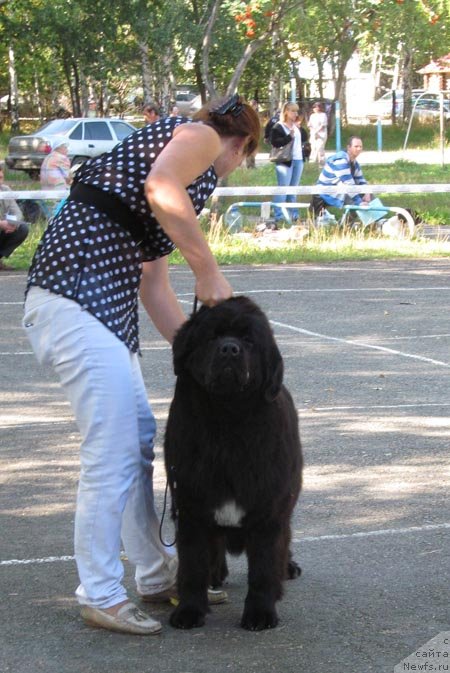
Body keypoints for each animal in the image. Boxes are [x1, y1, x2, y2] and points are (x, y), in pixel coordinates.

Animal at [163, 296, 304, 628]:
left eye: (249, 340)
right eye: (212, 337)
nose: (230, 349)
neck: (227, 424)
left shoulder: (269, 509)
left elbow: (264, 568)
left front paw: (260, 614)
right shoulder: (191, 506)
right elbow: (192, 566)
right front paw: (189, 611)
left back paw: (288, 567)